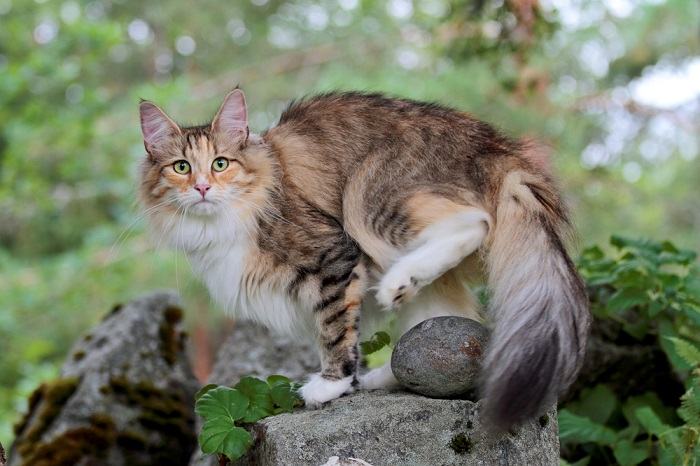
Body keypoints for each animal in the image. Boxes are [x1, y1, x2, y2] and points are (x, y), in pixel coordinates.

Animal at [138, 87, 592, 430]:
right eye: (181, 167)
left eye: (220, 164)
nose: (201, 188)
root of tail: (501, 151)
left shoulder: (332, 255)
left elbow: (334, 327)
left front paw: (330, 385)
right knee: (436, 333)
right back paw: (387, 370)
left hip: (366, 193)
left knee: (473, 224)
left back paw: (395, 285)